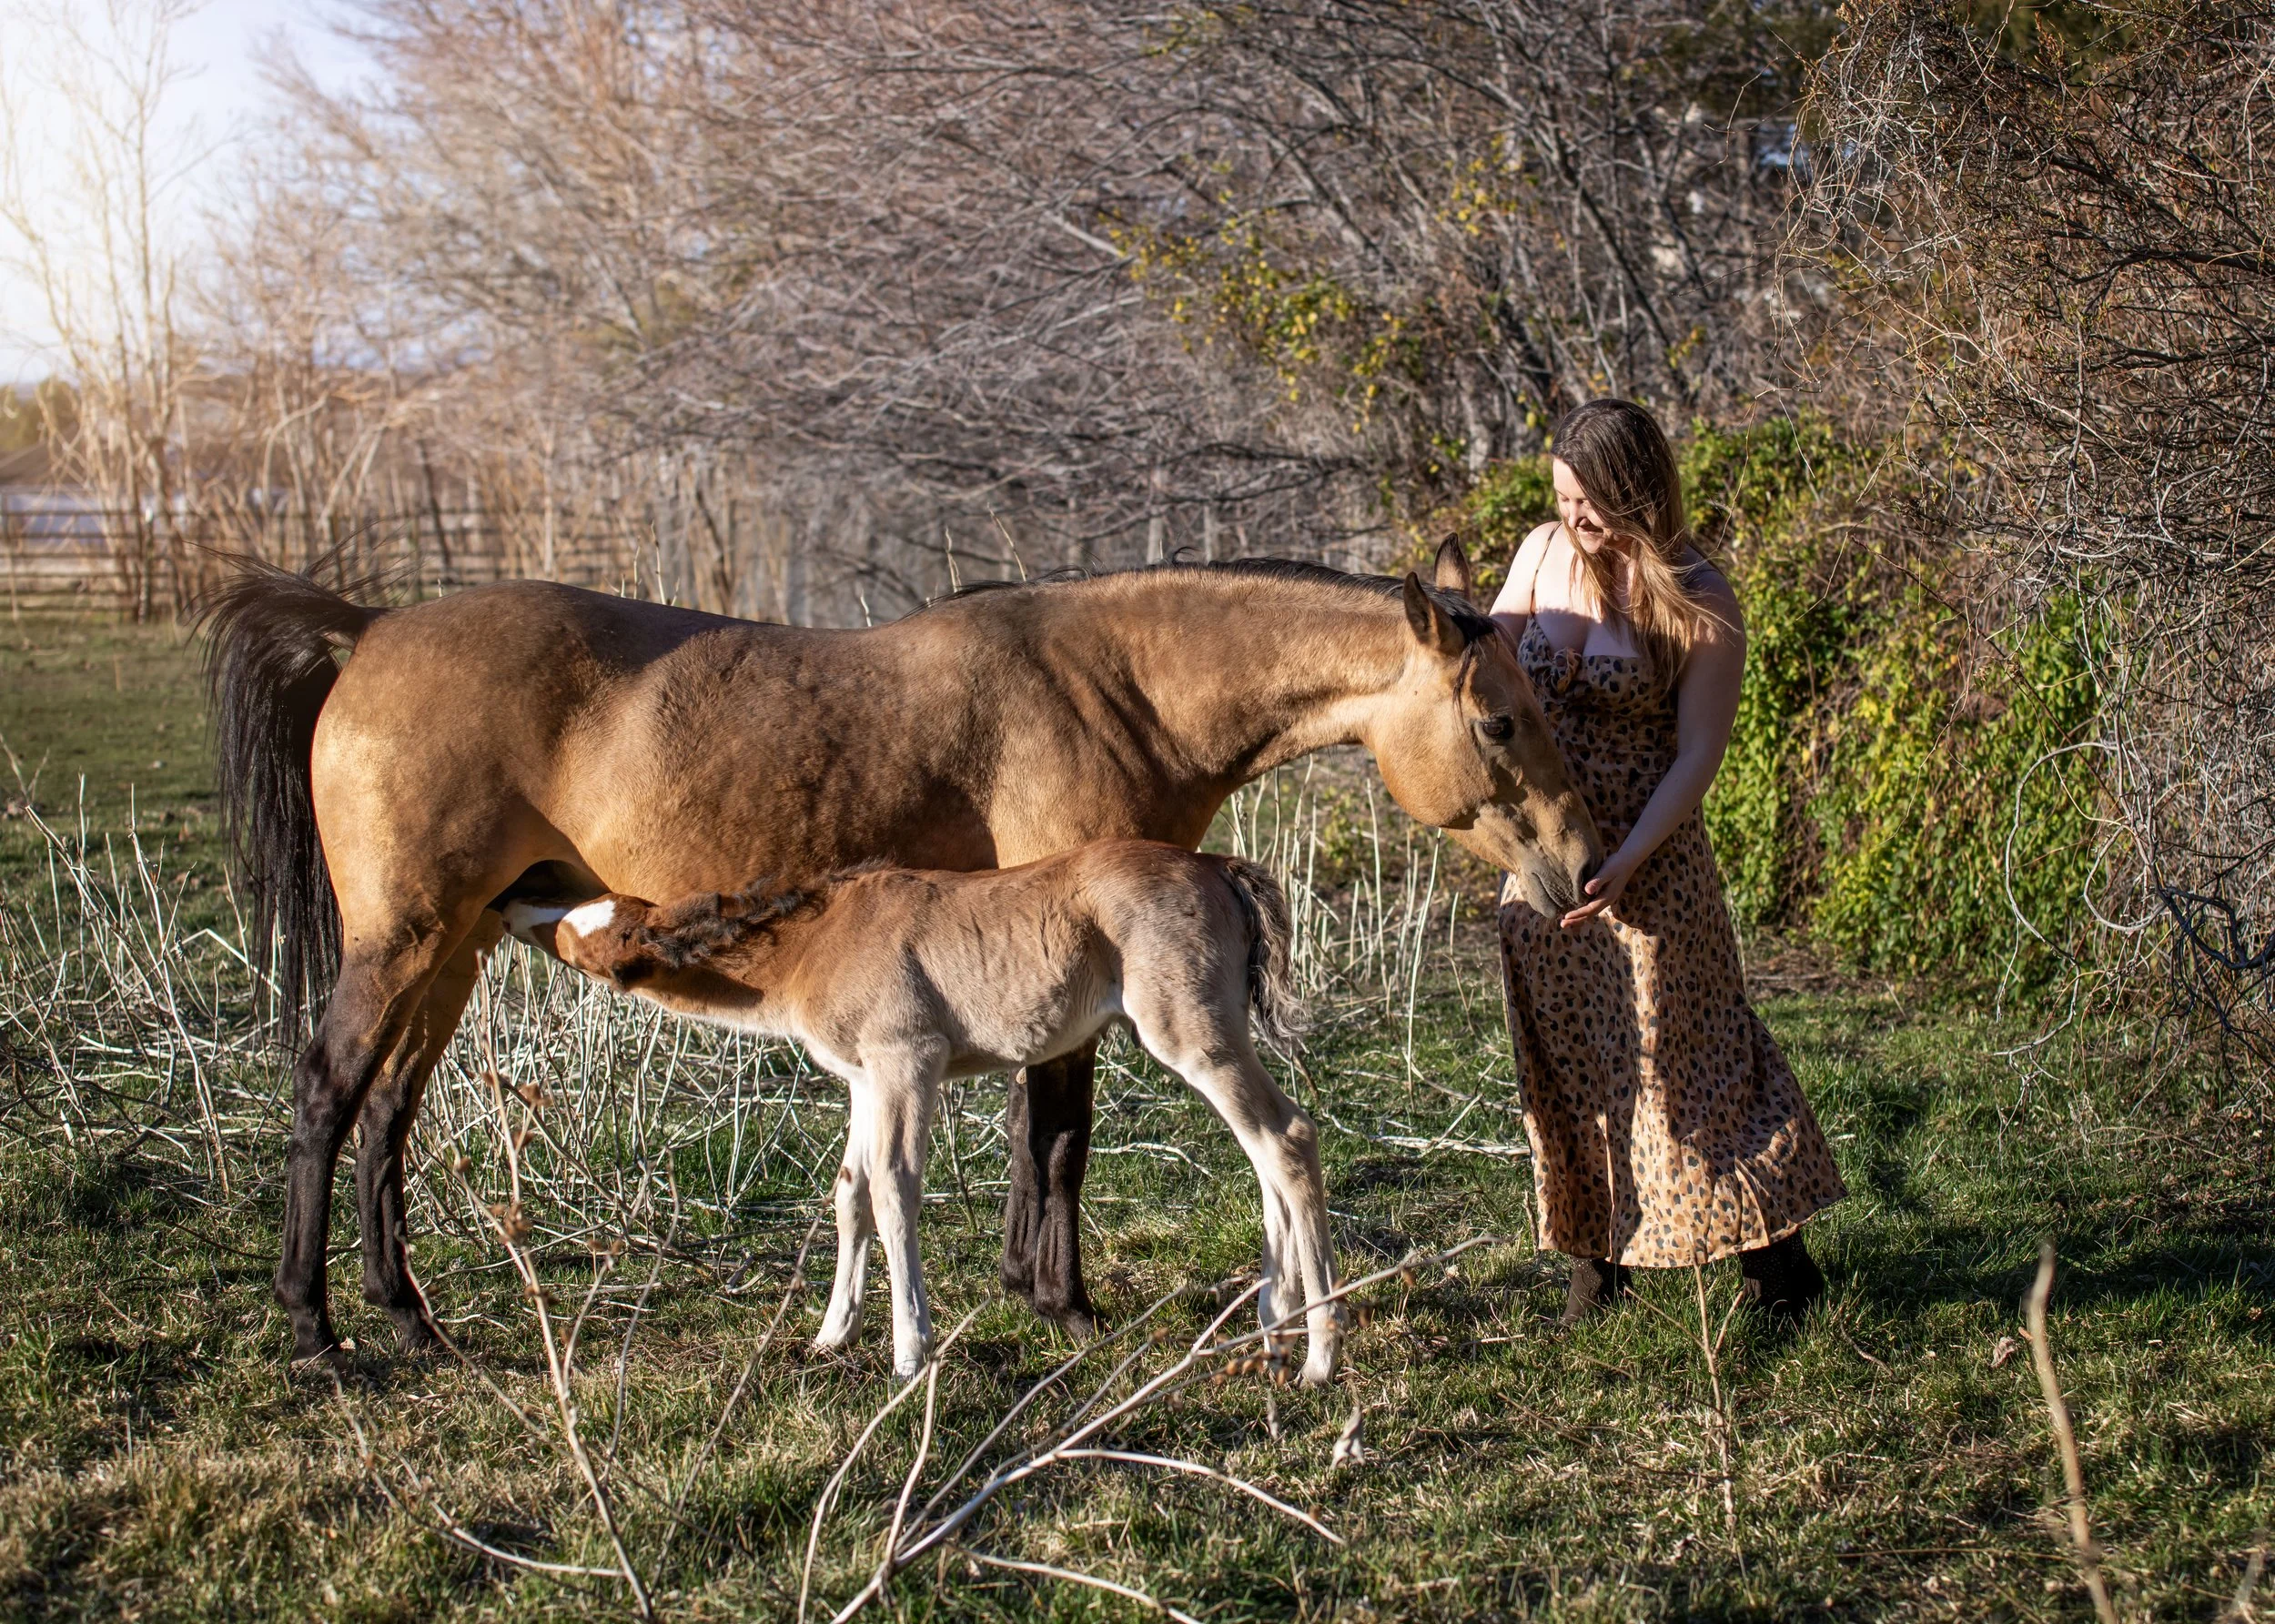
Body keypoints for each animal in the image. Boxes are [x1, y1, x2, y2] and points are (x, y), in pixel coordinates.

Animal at [499, 840, 1343, 1384]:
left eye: (578, 932)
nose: (512, 894)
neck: (813, 943)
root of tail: (1221, 868)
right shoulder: (864, 1079)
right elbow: (850, 1190)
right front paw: (830, 1335)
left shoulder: (909, 1059)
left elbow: (895, 1187)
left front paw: (910, 1351)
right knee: (1263, 1152)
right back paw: (1271, 1332)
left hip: (1189, 1030)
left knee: (1288, 1138)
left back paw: (1317, 1357)